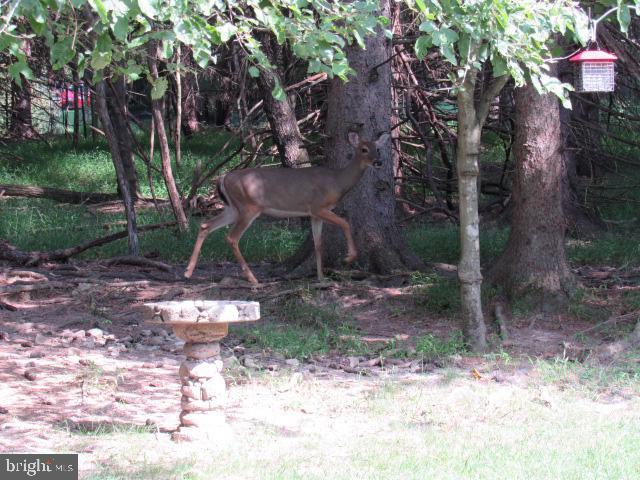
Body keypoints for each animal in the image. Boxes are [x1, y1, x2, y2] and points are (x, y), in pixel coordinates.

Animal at [182, 131, 388, 284]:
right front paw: (349, 257)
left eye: (378, 148)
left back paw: (188, 272)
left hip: (232, 208)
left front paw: (321, 278)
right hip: (249, 207)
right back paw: (252, 279)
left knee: (205, 225)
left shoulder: (314, 214)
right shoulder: (317, 206)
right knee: (231, 237)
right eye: (363, 149)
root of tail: (223, 178)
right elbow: (345, 223)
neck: (337, 182)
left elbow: (318, 243)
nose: (379, 162)